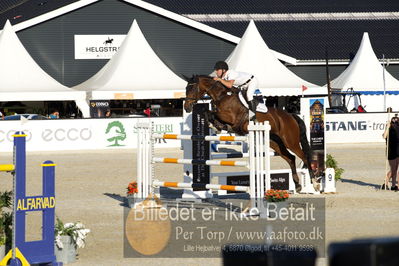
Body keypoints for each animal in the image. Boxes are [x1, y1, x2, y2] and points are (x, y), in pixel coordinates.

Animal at [184, 75, 318, 191]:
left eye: (192, 88)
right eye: (186, 89)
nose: (186, 108)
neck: (222, 96)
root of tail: (290, 116)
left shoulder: (230, 116)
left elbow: (211, 112)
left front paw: (217, 125)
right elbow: (209, 112)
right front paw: (217, 126)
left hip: (290, 142)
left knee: (304, 157)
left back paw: (315, 183)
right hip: (275, 143)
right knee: (290, 158)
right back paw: (298, 185)